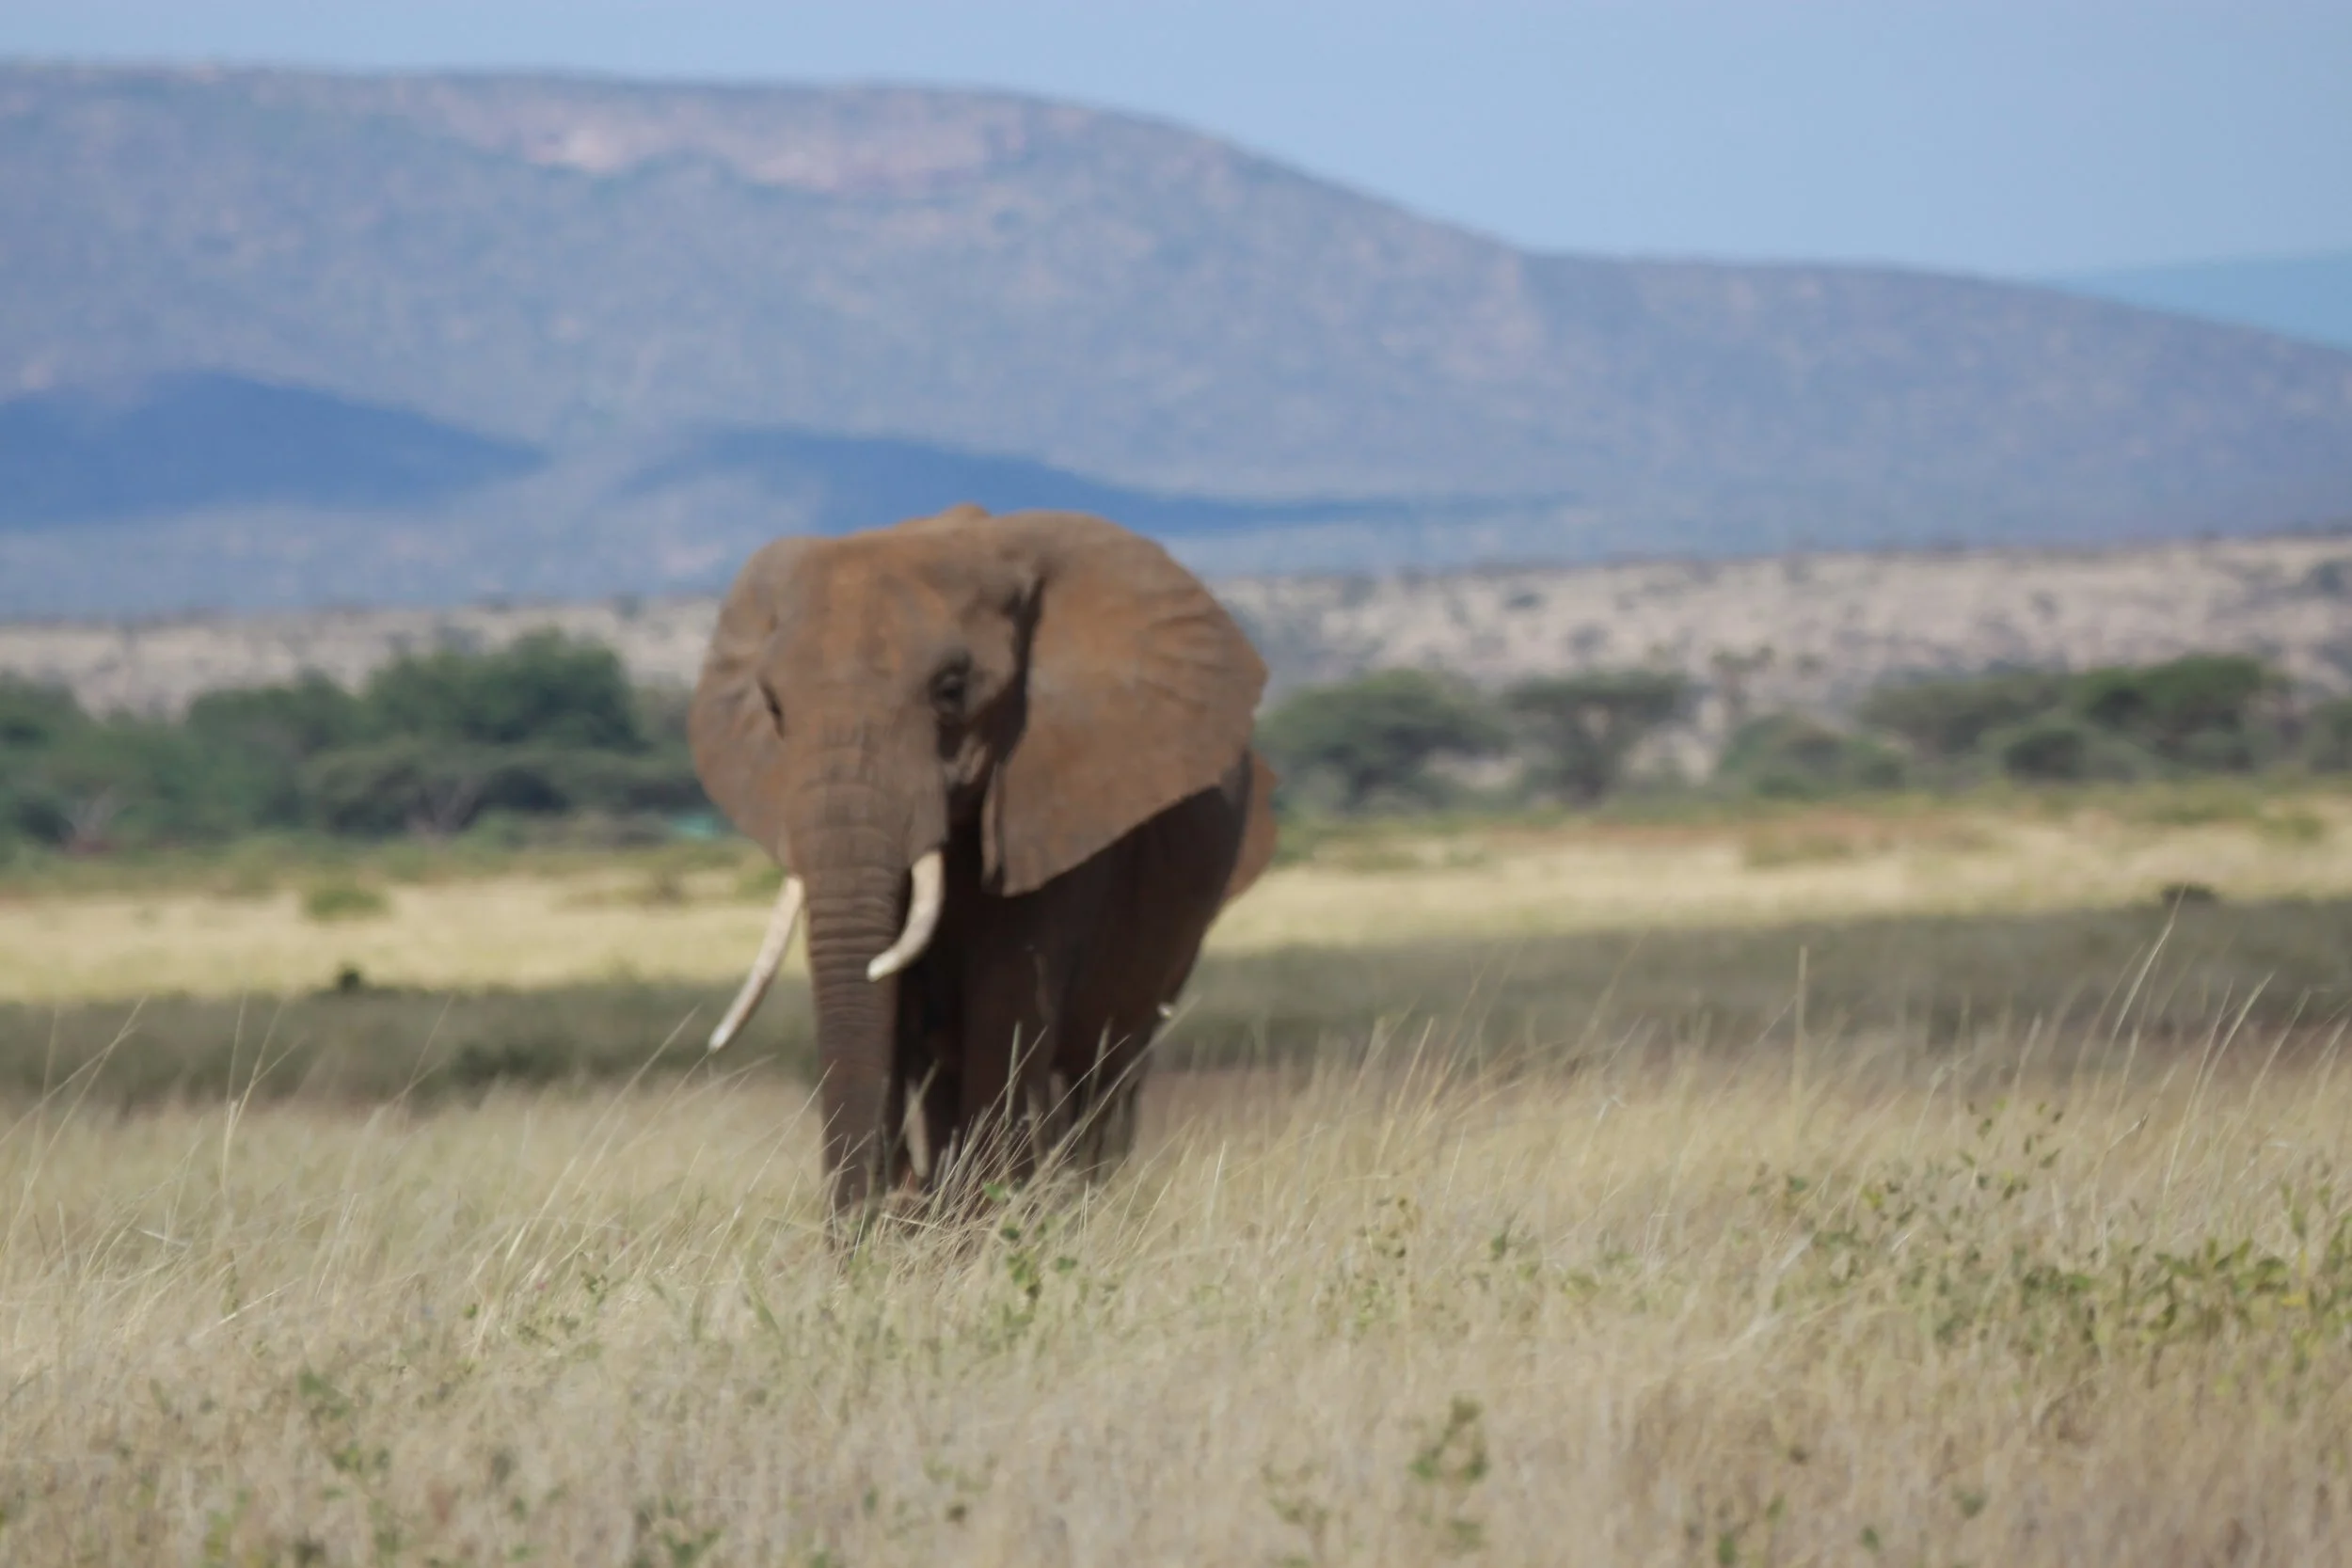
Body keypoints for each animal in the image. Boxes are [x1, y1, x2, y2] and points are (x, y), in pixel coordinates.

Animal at [689, 503, 1278, 1217]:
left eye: (951, 689)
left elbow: (1008, 1003)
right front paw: (914, 1219)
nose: (861, 1223)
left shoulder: (1055, 797)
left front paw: (980, 1222)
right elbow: (898, 1012)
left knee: (1111, 1061)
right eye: (773, 706)